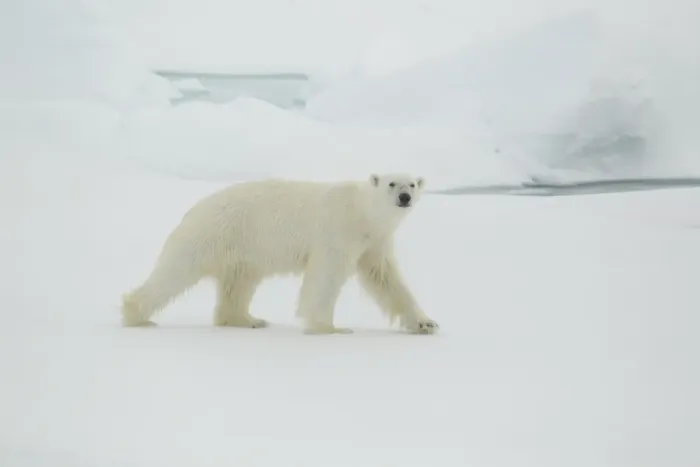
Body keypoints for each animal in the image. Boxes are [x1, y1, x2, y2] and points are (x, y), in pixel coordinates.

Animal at [120, 173, 438, 335]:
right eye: (391, 183)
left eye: (412, 183)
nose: (405, 197)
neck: (363, 212)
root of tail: (194, 208)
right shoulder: (338, 230)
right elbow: (326, 276)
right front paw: (330, 328)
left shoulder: (374, 242)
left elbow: (386, 279)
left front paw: (426, 323)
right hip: (212, 234)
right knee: (175, 272)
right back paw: (137, 315)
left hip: (242, 250)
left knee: (239, 282)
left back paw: (248, 319)